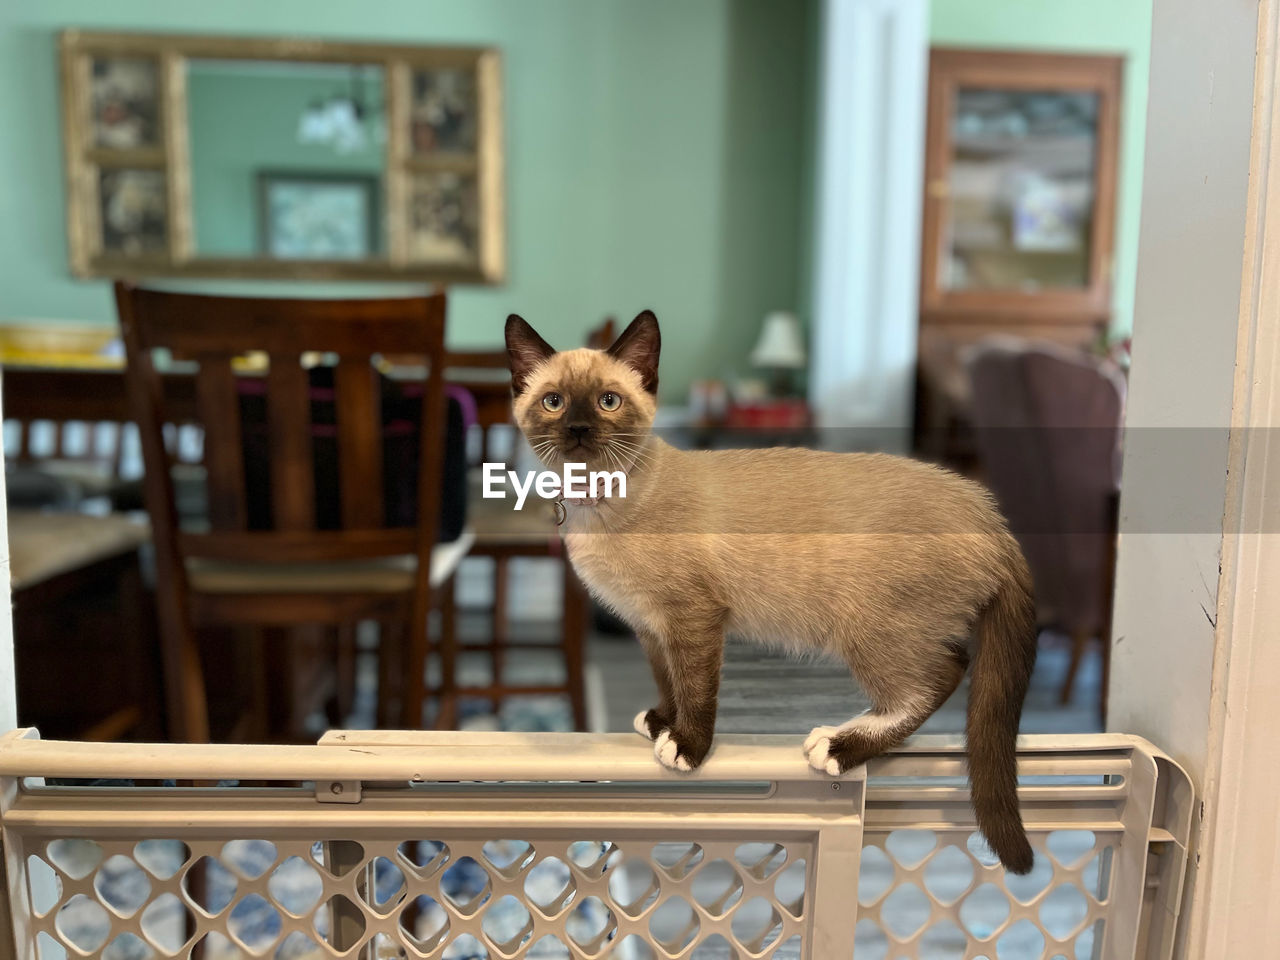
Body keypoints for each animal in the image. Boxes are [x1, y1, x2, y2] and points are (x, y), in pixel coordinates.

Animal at [501, 312, 1039, 875]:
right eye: (554, 402)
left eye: (608, 401)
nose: (579, 430)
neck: (598, 503)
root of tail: (989, 513)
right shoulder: (651, 627)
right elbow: (669, 681)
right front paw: (662, 723)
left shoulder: (693, 618)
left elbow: (696, 689)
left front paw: (687, 748)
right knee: (952, 664)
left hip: (866, 626)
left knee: (937, 678)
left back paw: (836, 747)